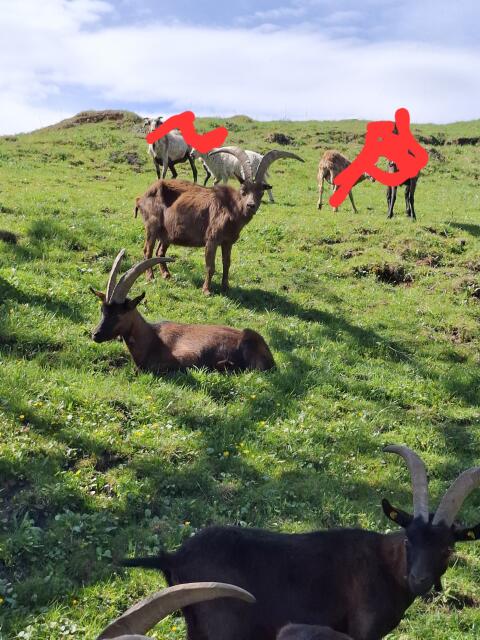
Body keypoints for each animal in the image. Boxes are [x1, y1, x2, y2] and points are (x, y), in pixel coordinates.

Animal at [123, 445, 480, 640]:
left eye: (448, 548)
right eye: (409, 540)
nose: (419, 580)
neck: (385, 566)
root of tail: (174, 556)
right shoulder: (362, 630)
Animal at [134, 147, 303, 295]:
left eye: (261, 192)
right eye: (243, 191)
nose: (251, 205)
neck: (231, 208)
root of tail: (141, 197)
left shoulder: (228, 242)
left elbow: (226, 263)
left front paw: (225, 287)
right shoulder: (212, 239)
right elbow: (210, 266)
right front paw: (206, 291)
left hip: (167, 233)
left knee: (160, 252)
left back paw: (166, 275)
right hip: (152, 226)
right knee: (148, 251)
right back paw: (150, 277)